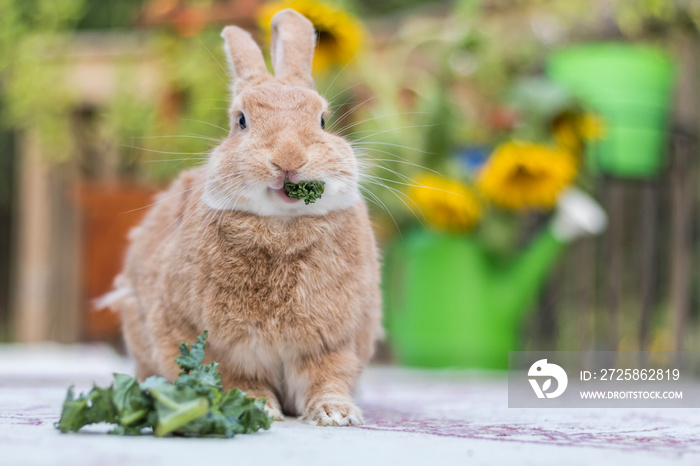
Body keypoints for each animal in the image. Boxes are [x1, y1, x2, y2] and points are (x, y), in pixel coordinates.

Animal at [105, 10, 382, 426]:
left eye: (322, 120)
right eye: (241, 121)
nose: (288, 158)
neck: (282, 225)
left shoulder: (334, 343)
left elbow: (327, 378)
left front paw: (336, 413)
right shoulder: (219, 346)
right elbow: (238, 379)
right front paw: (257, 407)